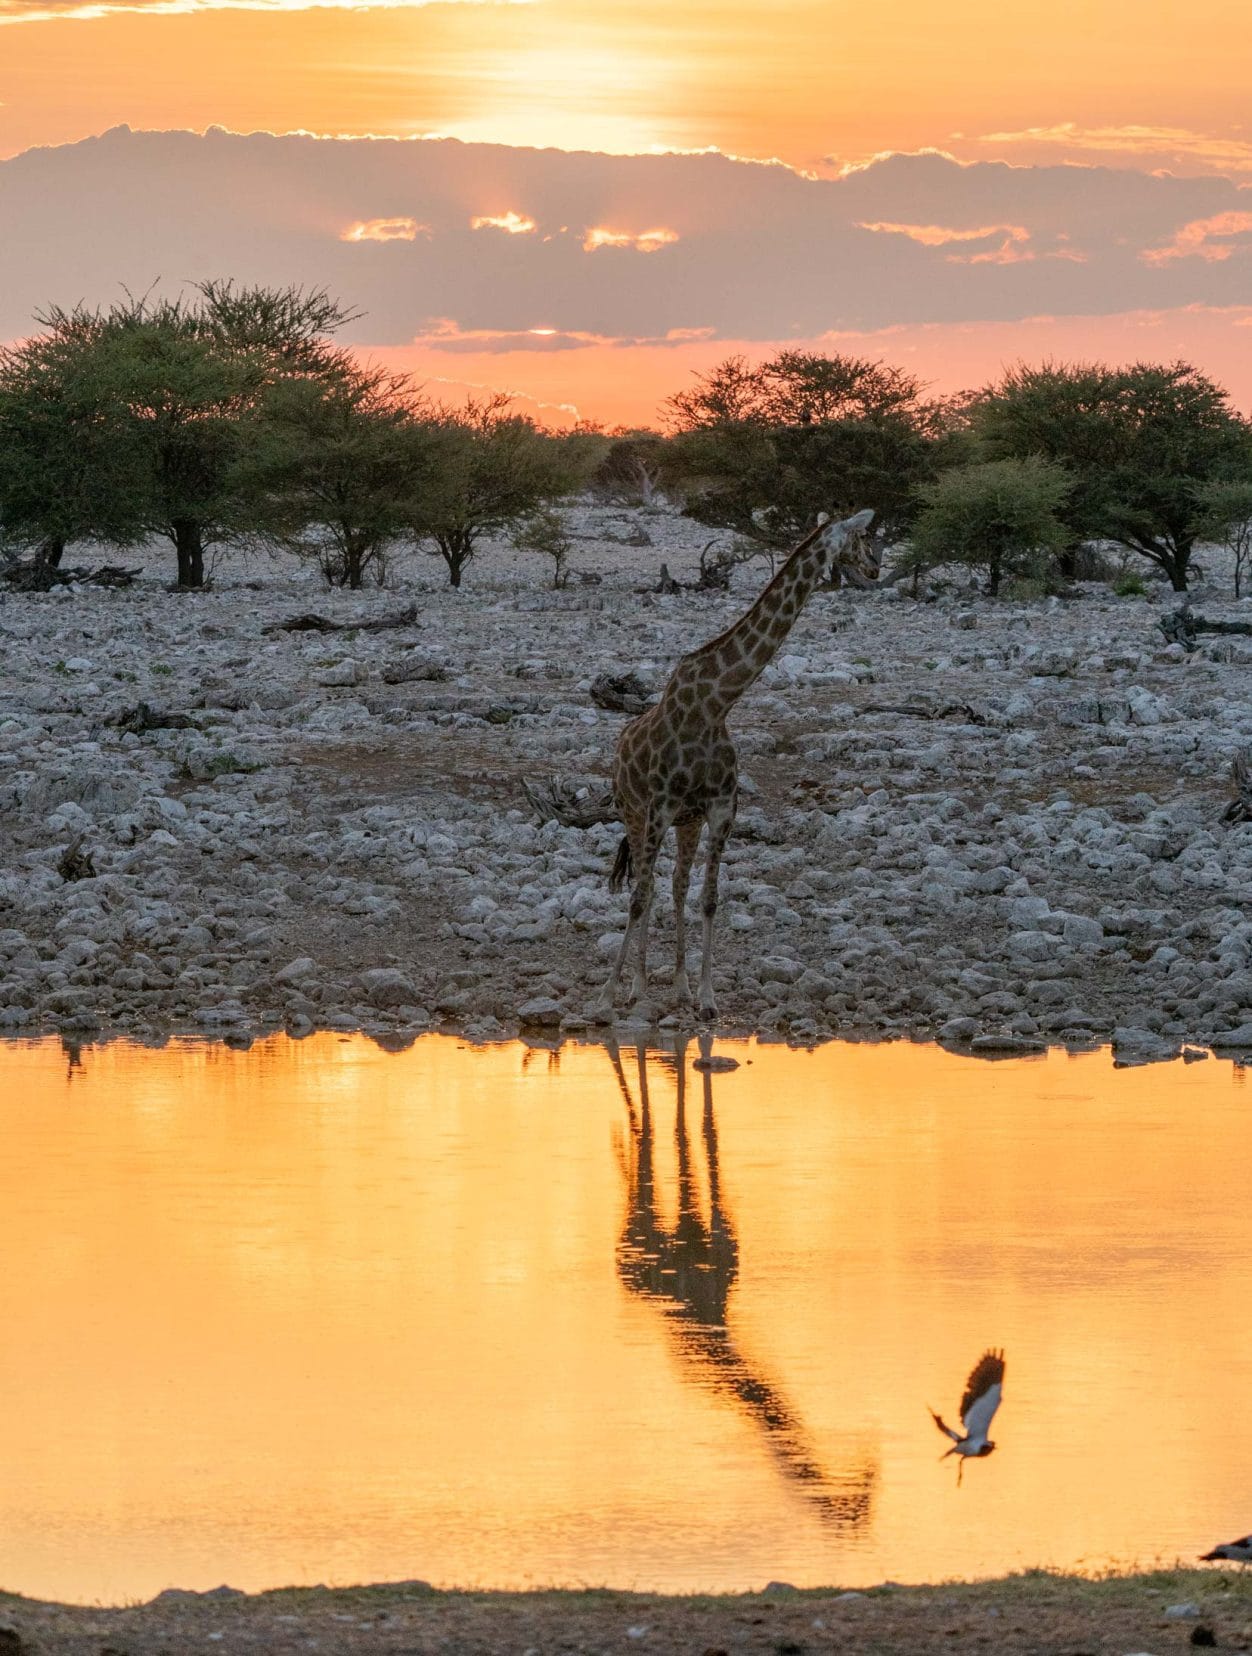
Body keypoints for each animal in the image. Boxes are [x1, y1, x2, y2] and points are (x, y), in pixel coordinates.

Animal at [592, 506, 867, 1020]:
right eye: (861, 538)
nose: (876, 567)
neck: (715, 704)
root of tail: (619, 744)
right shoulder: (659, 806)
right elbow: (638, 899)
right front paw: (606, 997)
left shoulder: (719, 809)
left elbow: (709, 899)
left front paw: (705, 998)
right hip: (634, 812)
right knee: (646, 887)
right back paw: (637, 987)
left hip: (685, 822)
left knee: (674, 885)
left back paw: (675, 987)